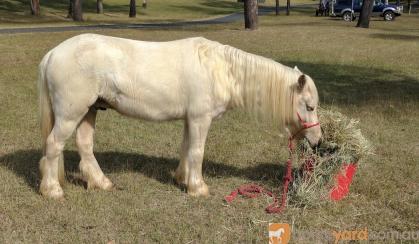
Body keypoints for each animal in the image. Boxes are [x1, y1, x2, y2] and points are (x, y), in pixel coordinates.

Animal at [38, 34, 322, 199]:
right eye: (309, 106)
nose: (318, 141)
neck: (221, 69)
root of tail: (52, 54)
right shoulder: (200, 118)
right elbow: (197, 151)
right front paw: (198, 187)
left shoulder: (190, 119)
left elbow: (186, 148)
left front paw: (182, 178)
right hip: (71, 114)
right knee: (53, 145)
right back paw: (52, 190)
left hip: (89, 110)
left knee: (85, 146)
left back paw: (101, 182)